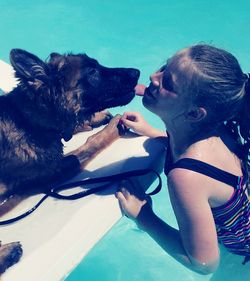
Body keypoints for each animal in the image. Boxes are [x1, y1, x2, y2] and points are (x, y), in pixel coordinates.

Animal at [0, 48, 141, 274]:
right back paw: (7, 253)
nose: (136, 72)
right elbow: (90, 144)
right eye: (92, 71)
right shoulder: (57, 167)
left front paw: (94, 119)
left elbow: (71, 127)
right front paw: (111, 128)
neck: (27, 119)